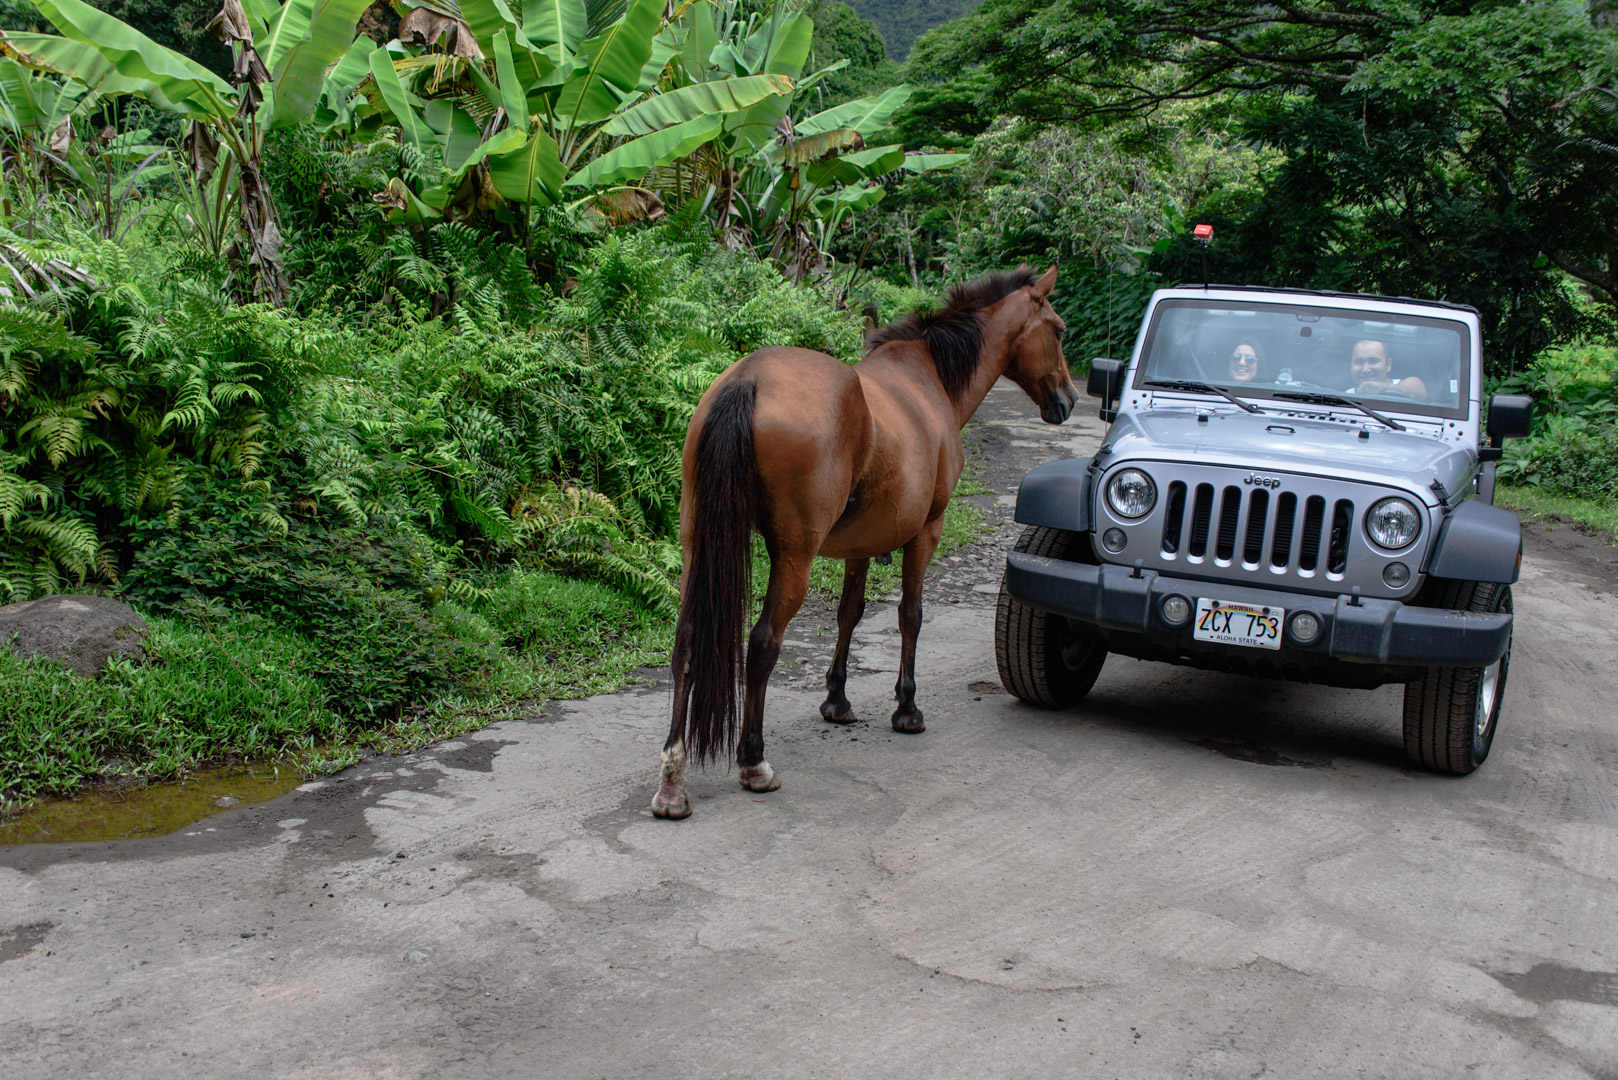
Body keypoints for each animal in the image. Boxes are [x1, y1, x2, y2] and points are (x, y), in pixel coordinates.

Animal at [643, 263, 1074, 819]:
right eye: (1059, 331)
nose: (1067, 401)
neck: (929, 378)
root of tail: (748, 379)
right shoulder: (926, 531)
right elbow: (910, 615)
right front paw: (907, 707)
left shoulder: (860, 544)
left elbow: (850, 612)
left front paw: (837, 701)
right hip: (794, 558)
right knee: (763, 643)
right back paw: (753, 762)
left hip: (698, 544)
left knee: (688, 643)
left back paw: (673, 781)